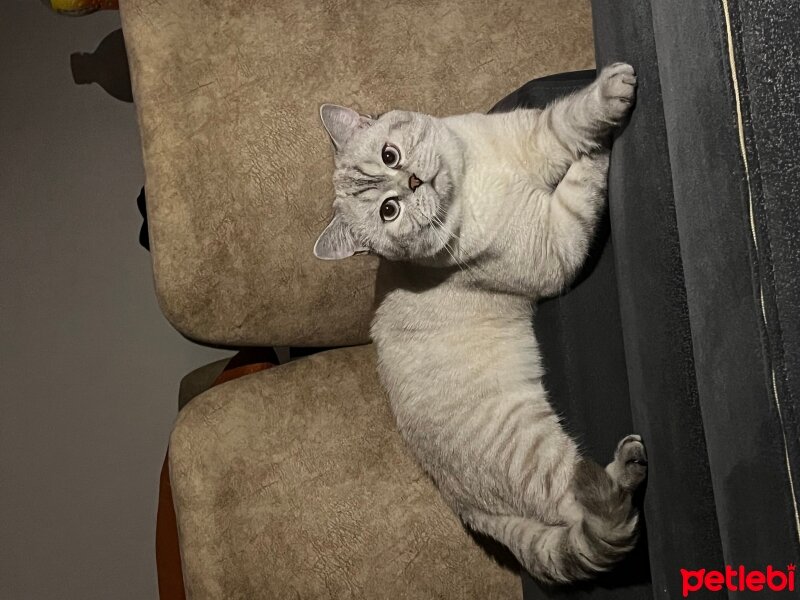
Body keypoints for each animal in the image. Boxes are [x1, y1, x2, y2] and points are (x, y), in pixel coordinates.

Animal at [312, 63, 644, 584]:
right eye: (389, 210)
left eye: (391, 155)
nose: (413, 181)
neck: (470, 183)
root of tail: (467, 510)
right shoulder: (557, 243)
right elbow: (582, 175)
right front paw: (604, 131)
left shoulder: (534, 134)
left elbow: (569, 117)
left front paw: (605, 93)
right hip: (540, 453)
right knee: (585, 504)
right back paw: (627, 466)